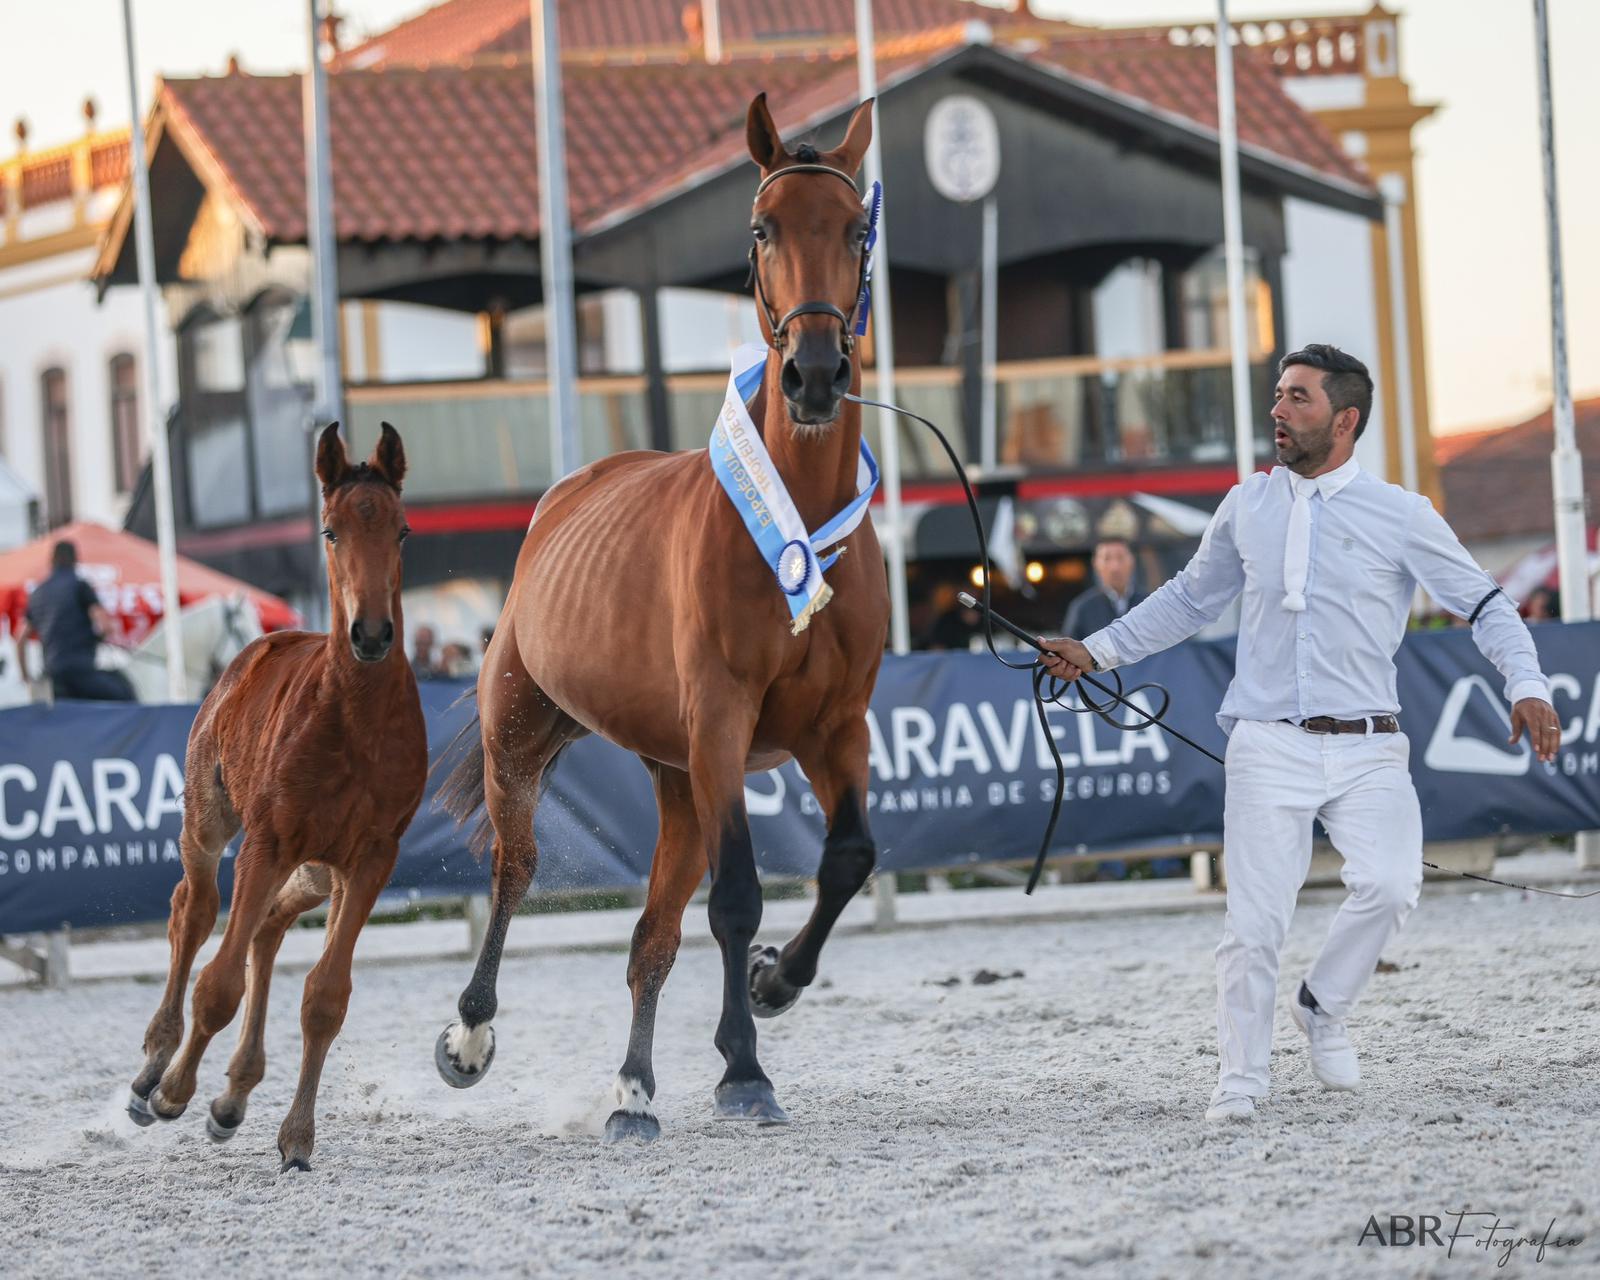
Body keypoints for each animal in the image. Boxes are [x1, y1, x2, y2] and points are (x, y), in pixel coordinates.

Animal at [126, 423, 428, 1171]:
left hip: (318, 872)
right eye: (329, 529)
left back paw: (233, 1095)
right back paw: (153, 1066)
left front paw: (296, 1137)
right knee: (194, 911)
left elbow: (325, 996)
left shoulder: (370, 859)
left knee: (265, 928)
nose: (371, 633)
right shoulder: (267, 840)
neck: (354, 723)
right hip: (211, 822)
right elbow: (218, 985)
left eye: (403, 530)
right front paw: (172, 1092)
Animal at [433, 93, 889, 1140]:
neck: (801, 524)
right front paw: (744, 1071)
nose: (813, 374)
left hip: (678, 779)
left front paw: (772, 985)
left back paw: (633, 1091)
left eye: (856, 228)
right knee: (515, 869)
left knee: (652, 933)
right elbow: (738, 897)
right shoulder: (722, 723)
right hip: (527, 733)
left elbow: (847, 858)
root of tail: (566, 495)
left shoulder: (835, 727)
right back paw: (471, 1035)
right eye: (763, 229)